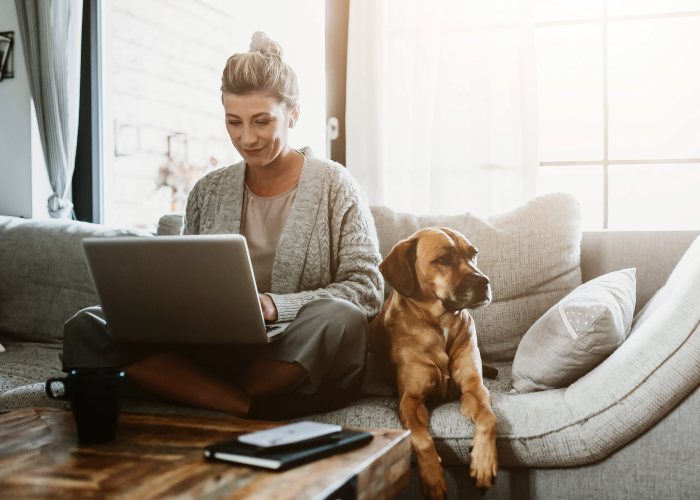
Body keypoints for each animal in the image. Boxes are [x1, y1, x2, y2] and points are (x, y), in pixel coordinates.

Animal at [370, 228, 500, 500]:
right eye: (443, 259)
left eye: (473, 254)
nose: (484, 282)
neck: (442, 324)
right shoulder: (410, 400)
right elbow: (420, 438)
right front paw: (432, 477)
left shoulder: (474, 388)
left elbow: (489, 418)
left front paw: (483, 461)